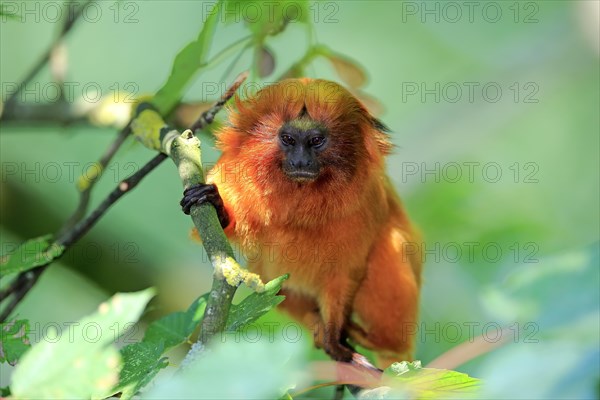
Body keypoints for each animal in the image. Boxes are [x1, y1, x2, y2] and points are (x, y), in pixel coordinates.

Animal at [183, 78, 422, 368]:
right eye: (288, 139)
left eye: (316, 141)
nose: (300, 160)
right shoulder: (236, 177)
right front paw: (216, 206)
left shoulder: (368, 198)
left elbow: (346, 272)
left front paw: (334, 336)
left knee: (393, 246)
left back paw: (377, 342)